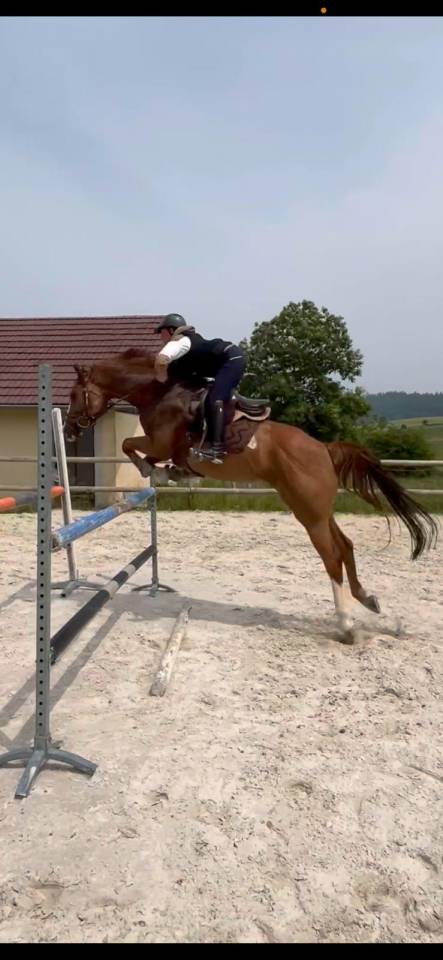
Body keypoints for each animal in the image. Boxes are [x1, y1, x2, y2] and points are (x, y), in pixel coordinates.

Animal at [64, 349, 438, 644]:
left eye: (73, 394)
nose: (68, 431)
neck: (157, 392)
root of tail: (324, 449)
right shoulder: (161, 447)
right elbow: (139, 451)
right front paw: (168, 472)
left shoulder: (159, 442)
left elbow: (131, 446)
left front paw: (154, 472)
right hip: (317, 509)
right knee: (345, 546)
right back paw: (371, 603)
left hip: (308, 511)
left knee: (332, 556)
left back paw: (346, 625)